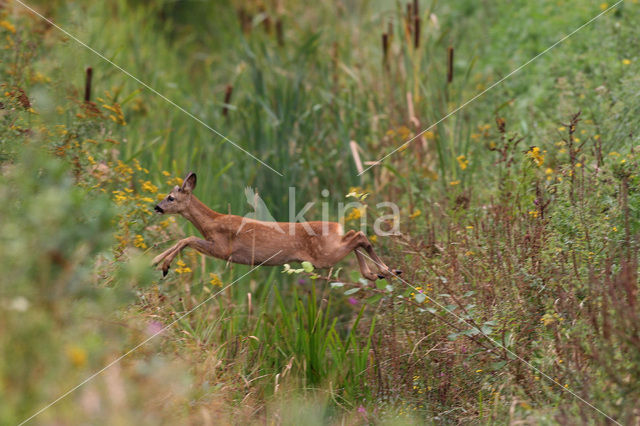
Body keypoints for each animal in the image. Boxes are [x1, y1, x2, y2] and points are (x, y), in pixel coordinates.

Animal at [151, 171, 400, 282]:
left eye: (171, 197)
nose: (157, 207)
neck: (211, 222)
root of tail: (335, 225)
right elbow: (185, 240)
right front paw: (156, 261)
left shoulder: (223, 248)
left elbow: (188, 239)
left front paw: (163, 265)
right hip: (329, 249)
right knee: (354, 235)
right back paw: (377, 273)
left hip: (324, 256)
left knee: (358, 236)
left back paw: (385, 270)